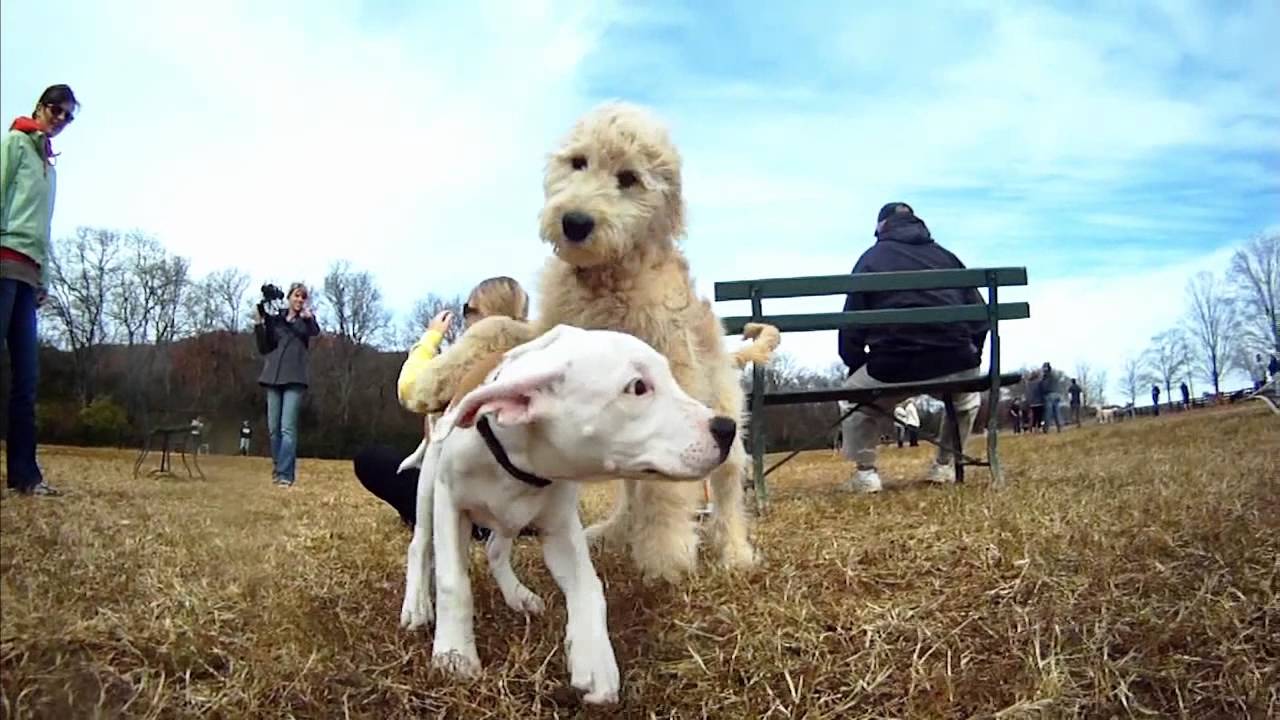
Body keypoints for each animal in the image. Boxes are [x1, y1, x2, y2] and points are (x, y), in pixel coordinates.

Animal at [399, 324, 742, 702]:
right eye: (638, 387)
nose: (728, 428)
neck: (520, 461)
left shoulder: (561, 528)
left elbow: (589, 586)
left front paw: (594, 658)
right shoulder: (451, 504)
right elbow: (452, 582)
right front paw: (454, 655)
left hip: (511, 518)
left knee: (495, 549)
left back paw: (518, 595)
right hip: (429, 485)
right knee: (420, 544)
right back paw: (417, 605)